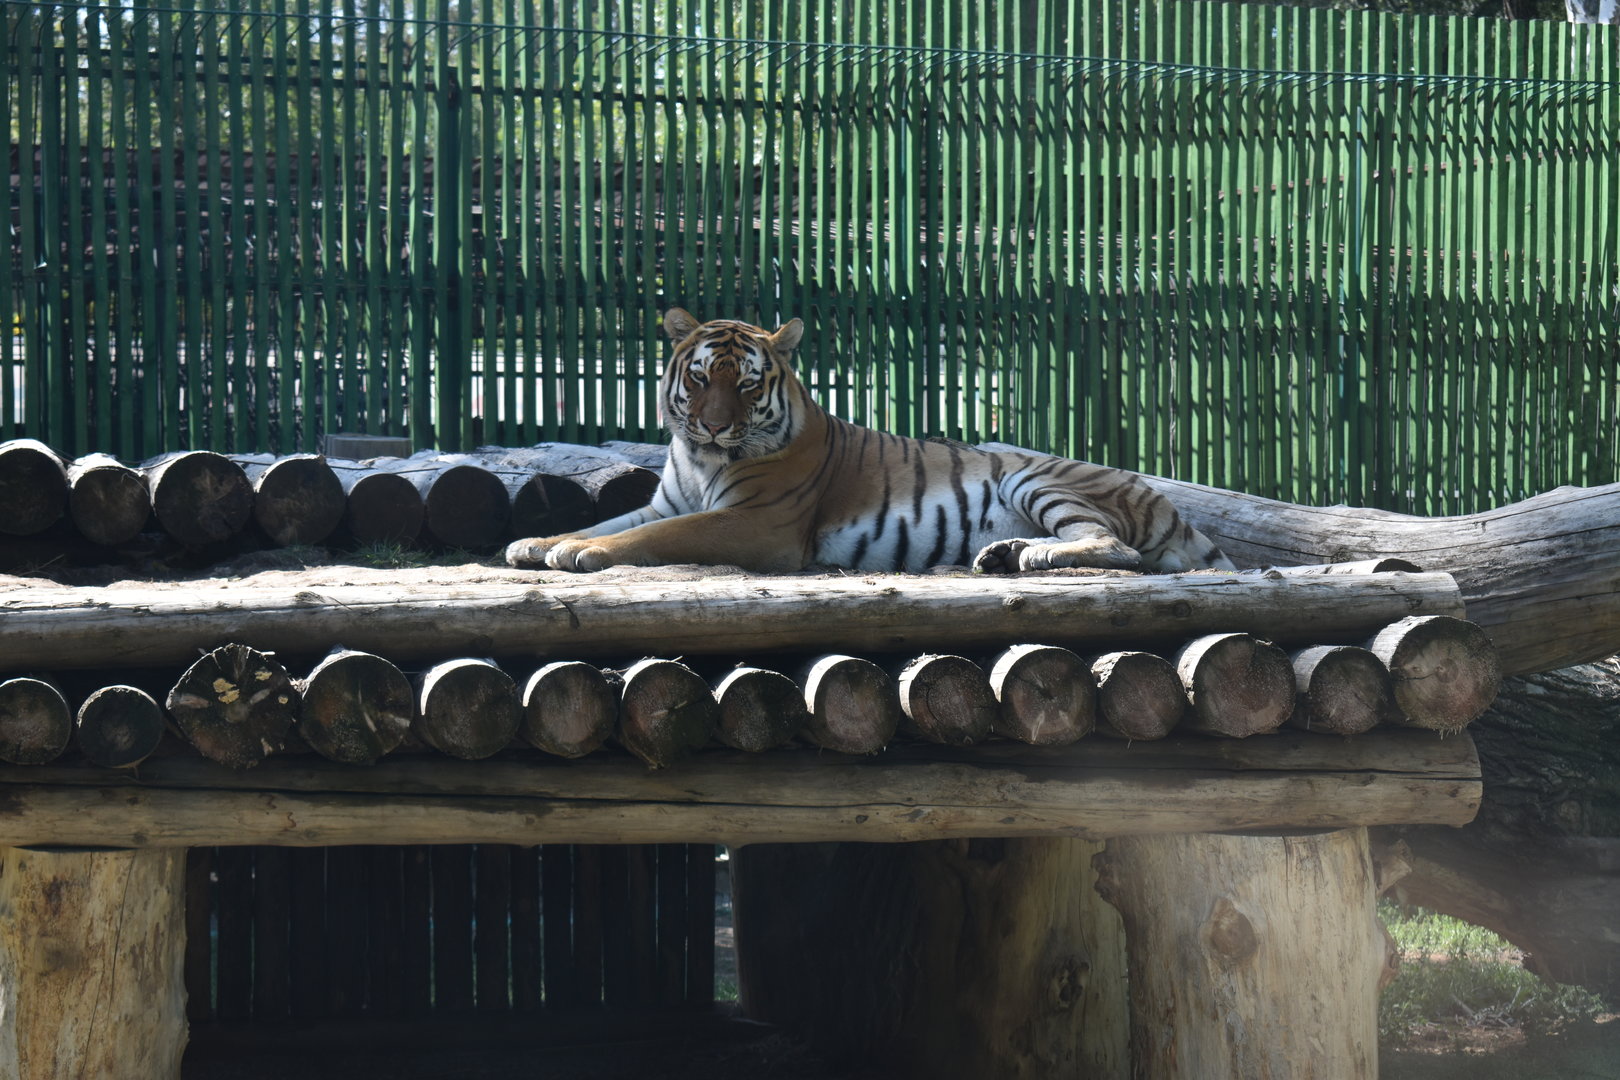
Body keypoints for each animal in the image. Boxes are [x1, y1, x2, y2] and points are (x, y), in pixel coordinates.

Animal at [505, 309, 1235, 576]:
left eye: (746, 383)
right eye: (699, 377)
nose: (711, 424)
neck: (700, 457)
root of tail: (1171, 506)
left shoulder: (755, 523)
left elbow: (649, 537)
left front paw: (579, 552)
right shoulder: (666, 502)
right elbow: (611, 519)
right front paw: (536, 541)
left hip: (1036, 477)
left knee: (1114, 547)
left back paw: (1033, 557)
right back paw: (1002, 554)